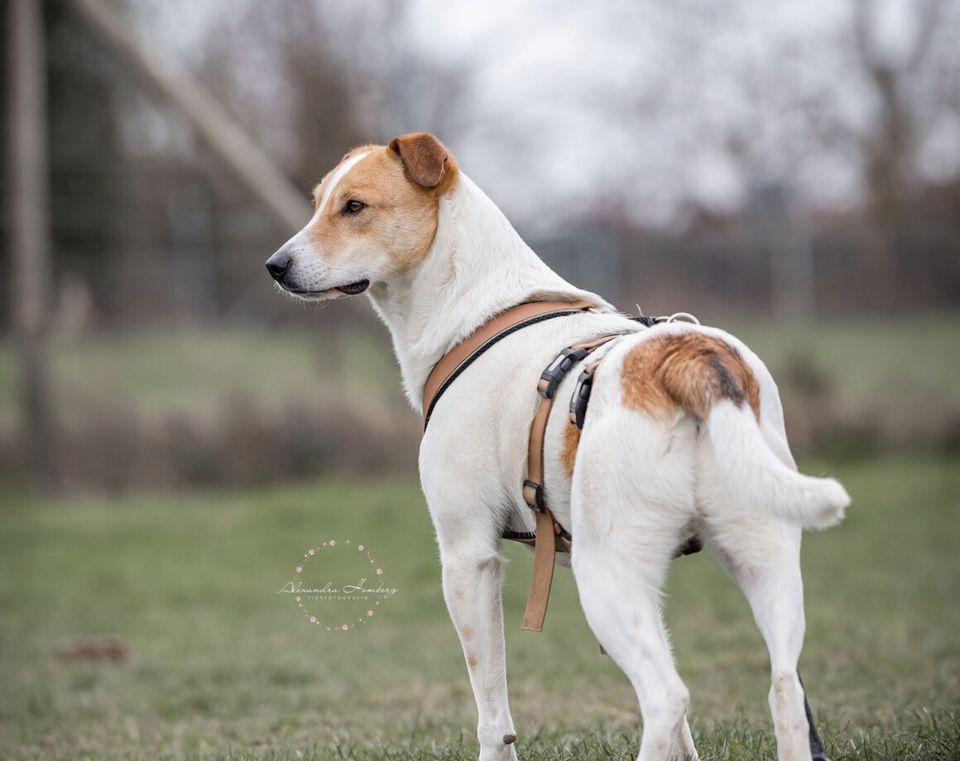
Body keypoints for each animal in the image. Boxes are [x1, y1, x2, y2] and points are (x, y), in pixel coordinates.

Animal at [266, 132, 852, 760]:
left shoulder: (468, 558)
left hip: (607, 576)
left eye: (354, 207)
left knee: (667, 697)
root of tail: (688, 361)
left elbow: (491, 710)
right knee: (783, 689)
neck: (477, 306)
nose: (275, 266)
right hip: (762, 560)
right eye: (316, 204)